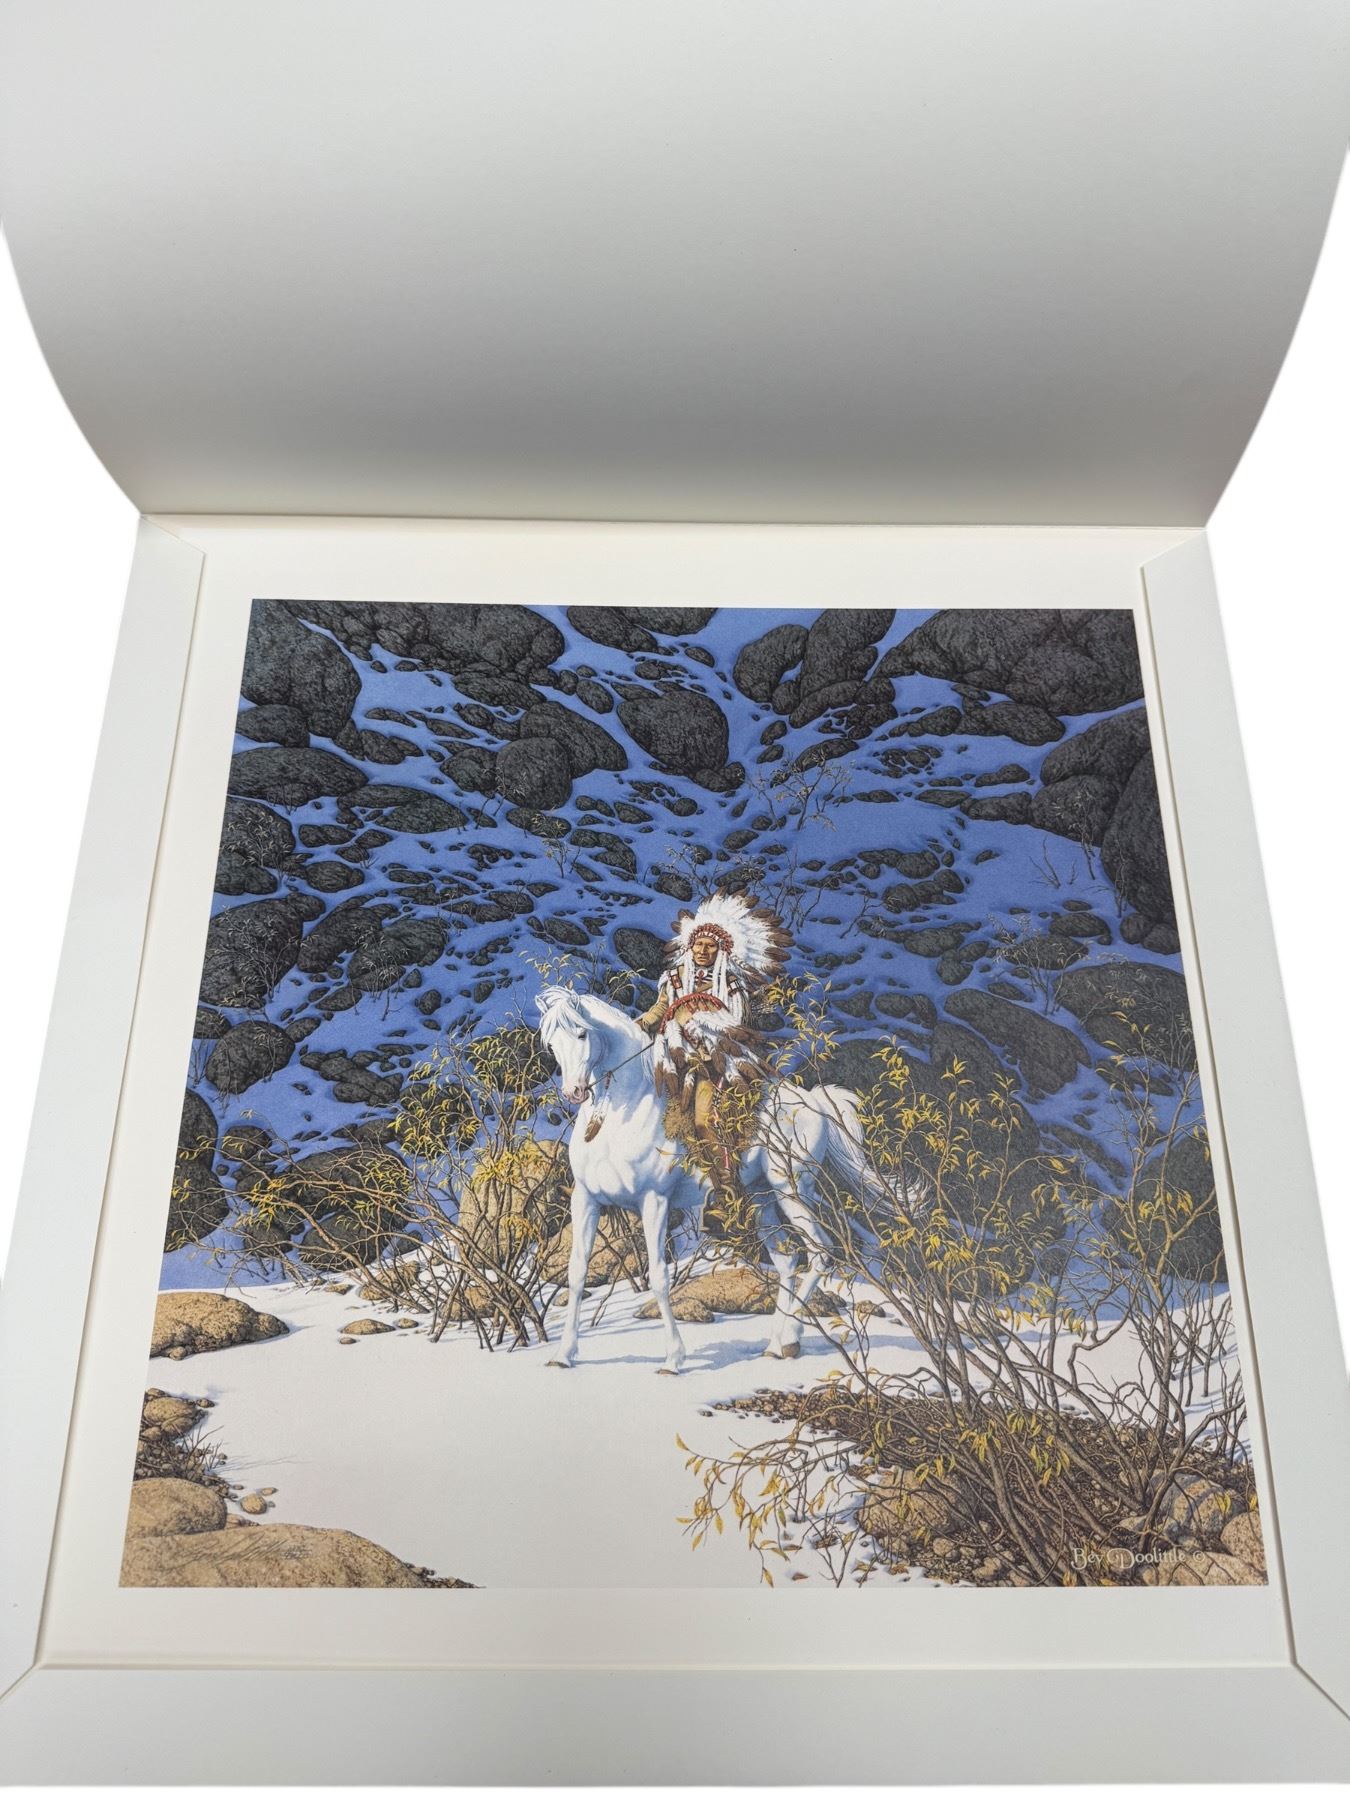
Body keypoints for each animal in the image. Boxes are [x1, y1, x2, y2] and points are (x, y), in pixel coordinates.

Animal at [535, 985, 878, 1373]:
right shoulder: (586, 1200)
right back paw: (776, 1345)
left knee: (820, 1253)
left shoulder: (654, 1201)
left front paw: (673, 1358)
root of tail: (813, 1101)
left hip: (792, 1190)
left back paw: (791, 1337)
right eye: (551, 1044)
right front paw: (563, 1355)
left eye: (581, 1033)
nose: (574, 1092)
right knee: (787, 1262)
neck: (619, 1114)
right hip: (761, 1197)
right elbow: (576, 1273)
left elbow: (659, 1277)